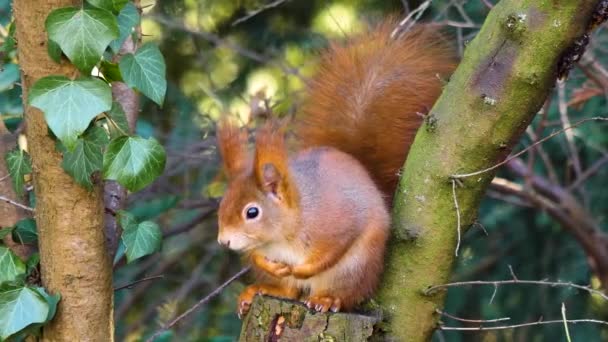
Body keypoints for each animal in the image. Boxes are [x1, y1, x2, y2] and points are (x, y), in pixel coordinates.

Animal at [216, 20, 454, 316]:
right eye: (222, 204)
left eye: (252, 212)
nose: (223, 241)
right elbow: (259, 256)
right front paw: (271, 264)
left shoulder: (339, 222)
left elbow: (334, 247)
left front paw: (303, 269)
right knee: (289, 291)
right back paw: (262, 289)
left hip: (354, 268)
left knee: (341, 293)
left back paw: (326, 299)